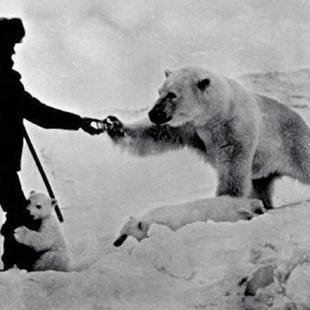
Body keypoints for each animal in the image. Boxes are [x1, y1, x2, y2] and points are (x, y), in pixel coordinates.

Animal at [103, 66, 310, 209]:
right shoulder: (189, 127)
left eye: (172, 94)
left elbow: (232, 166)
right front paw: (115, 125)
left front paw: (225, 201)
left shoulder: (234, 128)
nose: (153, 114)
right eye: (159, 91)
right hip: (265, 167)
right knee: (260, 185)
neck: (216, 113)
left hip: (293, 144)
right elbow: (157, 134)